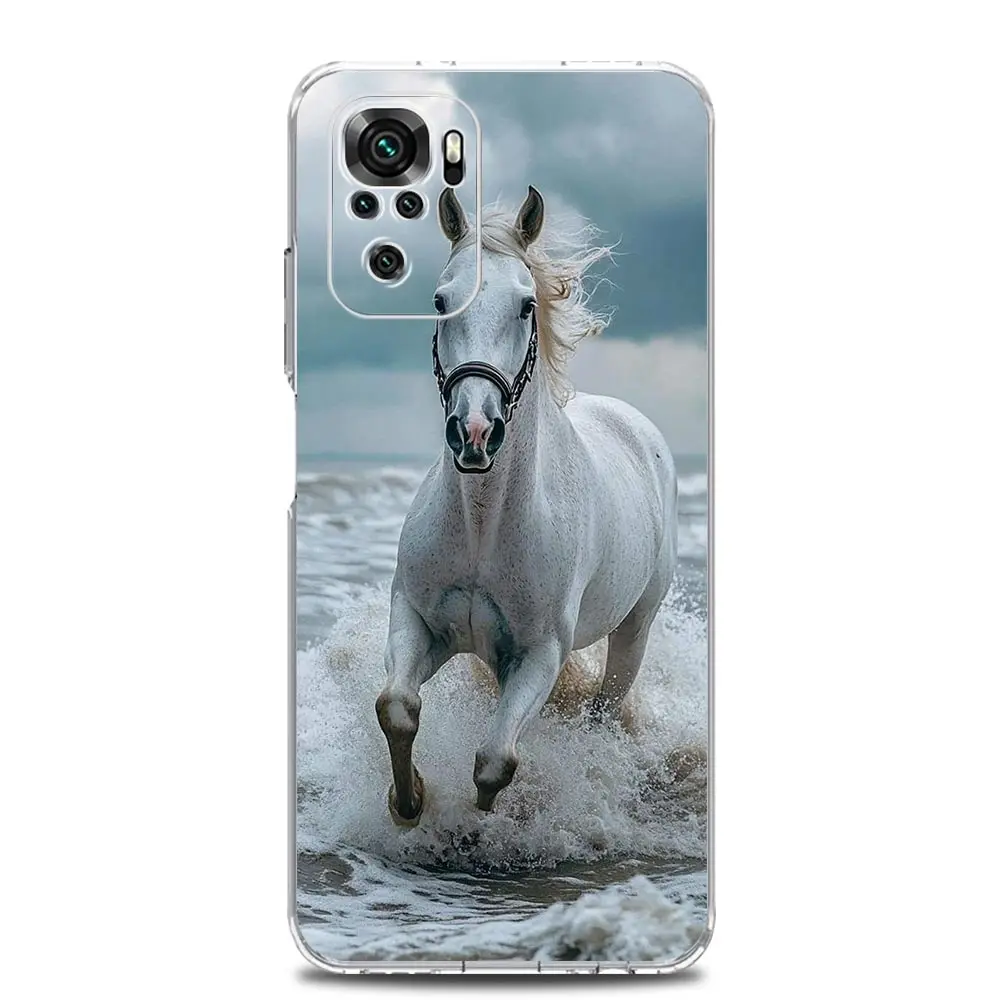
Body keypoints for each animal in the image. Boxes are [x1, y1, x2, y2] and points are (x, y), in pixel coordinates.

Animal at [375, 186, 679, 826]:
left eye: (524, 306)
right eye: (440, 301)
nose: (474, 432)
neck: (483, 527)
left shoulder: (539, 655)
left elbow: (495, 761)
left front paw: (474, 821)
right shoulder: (421, 621)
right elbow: (398, 706)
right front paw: (408, 802)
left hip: (634, 631)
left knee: (603, 711)